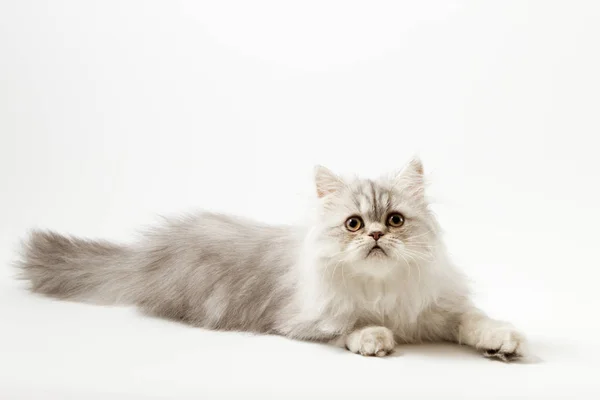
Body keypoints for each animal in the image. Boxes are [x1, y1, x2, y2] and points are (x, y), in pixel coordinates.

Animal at [16, 159, 524, 360]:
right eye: (353, 224)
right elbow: (348, 326)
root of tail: (144, 253)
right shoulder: (302, 317)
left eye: (395, 220)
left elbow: (474, 320)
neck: (381, 287)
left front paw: (502, 339)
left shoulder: (438, 308)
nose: (377, 235)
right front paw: (374, 338)